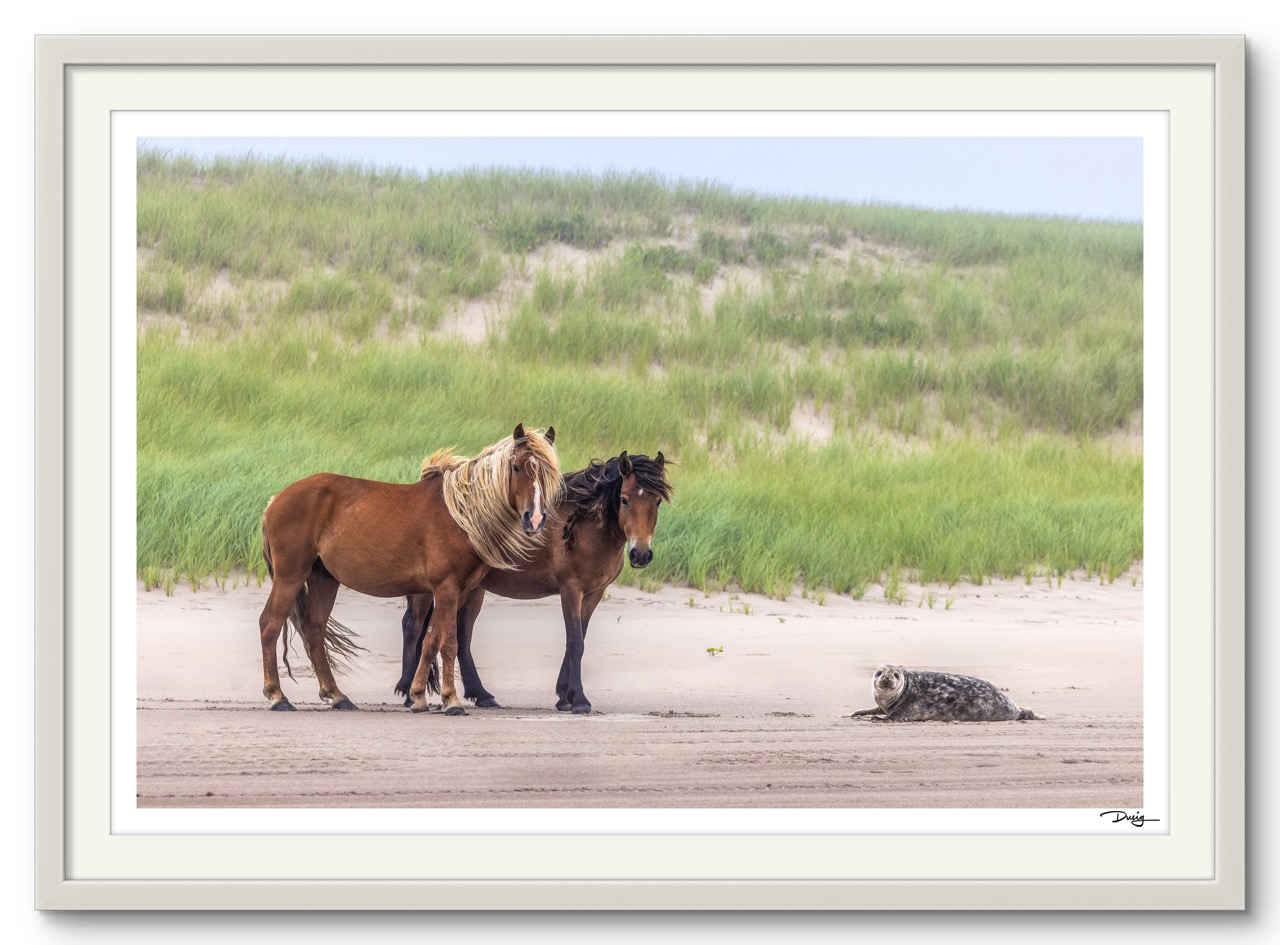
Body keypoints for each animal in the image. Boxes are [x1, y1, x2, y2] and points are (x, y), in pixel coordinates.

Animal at [258, 422, 560, 711]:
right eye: (516, 467)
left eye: (547, 472)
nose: (534, 519)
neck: (461, 516)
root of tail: (275, 500)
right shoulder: (446, 589)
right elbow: (448, 643)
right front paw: (451, 700)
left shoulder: (456, 592)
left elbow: (431, 641)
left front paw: (417, 696)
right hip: (290, 576)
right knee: (270, 624)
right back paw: (277, 696)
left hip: (324, 579)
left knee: (314, 630)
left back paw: (337, 695)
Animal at [389, 453, 670, 711]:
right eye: (624, 499)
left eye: (657, 501)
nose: (641, 554)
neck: (584, 526)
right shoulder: (571, 590)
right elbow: (575, 642)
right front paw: (579, 699)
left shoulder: (593, 595)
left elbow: (578, 639)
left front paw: (564, 696)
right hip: (433, 590)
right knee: (413, 626)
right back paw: (409, 693)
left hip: (472, 590)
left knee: (461, 637)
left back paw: (482, 695)